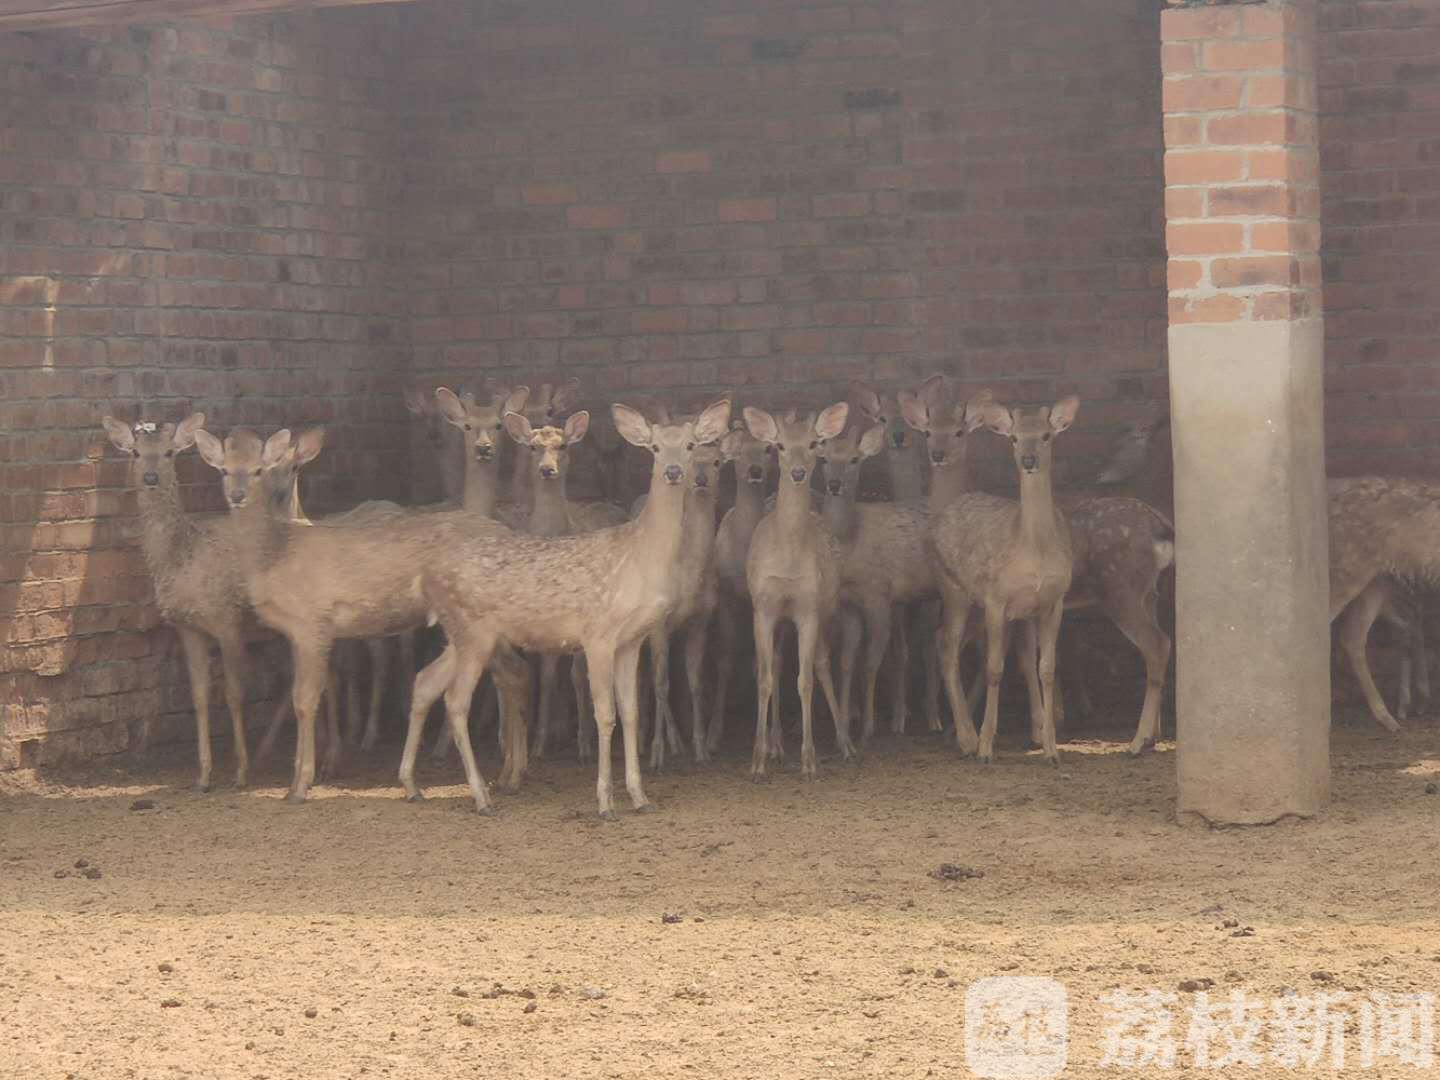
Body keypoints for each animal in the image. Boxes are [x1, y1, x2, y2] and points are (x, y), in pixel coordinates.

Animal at [101, 414, 249, 794]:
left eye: (168, 452)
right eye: (136, 452)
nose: (151, 477)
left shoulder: (228, 618)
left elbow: (234, 693)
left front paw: (241, 772)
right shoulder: (187, 626)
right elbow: (198, 696)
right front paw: (203, 776)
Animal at [400, 403, 731, 817]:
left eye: (689, 445)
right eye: (655, 448)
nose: (674, 472)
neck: (640, 558)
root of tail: (426, 577)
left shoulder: (631, 640)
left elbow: (631, 712)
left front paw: (640, 797)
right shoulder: (598, 632)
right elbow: (605, 713)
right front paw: (605, 801)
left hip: (460, 633)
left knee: (425, 681)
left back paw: (412, 785)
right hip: (473, 630)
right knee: (456, 700)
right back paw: (481, 796)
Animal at [743, 403, 852, 783]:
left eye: (814, 442)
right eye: (778, 445)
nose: (798, 472)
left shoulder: (808, 608)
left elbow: (805, 680)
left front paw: (809, 761)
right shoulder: (762, 607)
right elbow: (764, 678)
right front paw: (757, 762)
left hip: (827, 608)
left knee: (821, 664)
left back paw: (846, 743)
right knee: (776, 661)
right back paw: (776, 747)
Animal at [927, 394, 1077, 760]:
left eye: (1046, 435)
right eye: (1013, 437)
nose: (1028, 459)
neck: (1033, 552)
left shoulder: (1052, 601)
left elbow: (1045, 668)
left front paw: (1052, 749)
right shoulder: (996, 598)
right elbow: (994, 668)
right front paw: (985, 748)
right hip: (953, 588)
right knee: (946, 645)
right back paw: (966, 739)